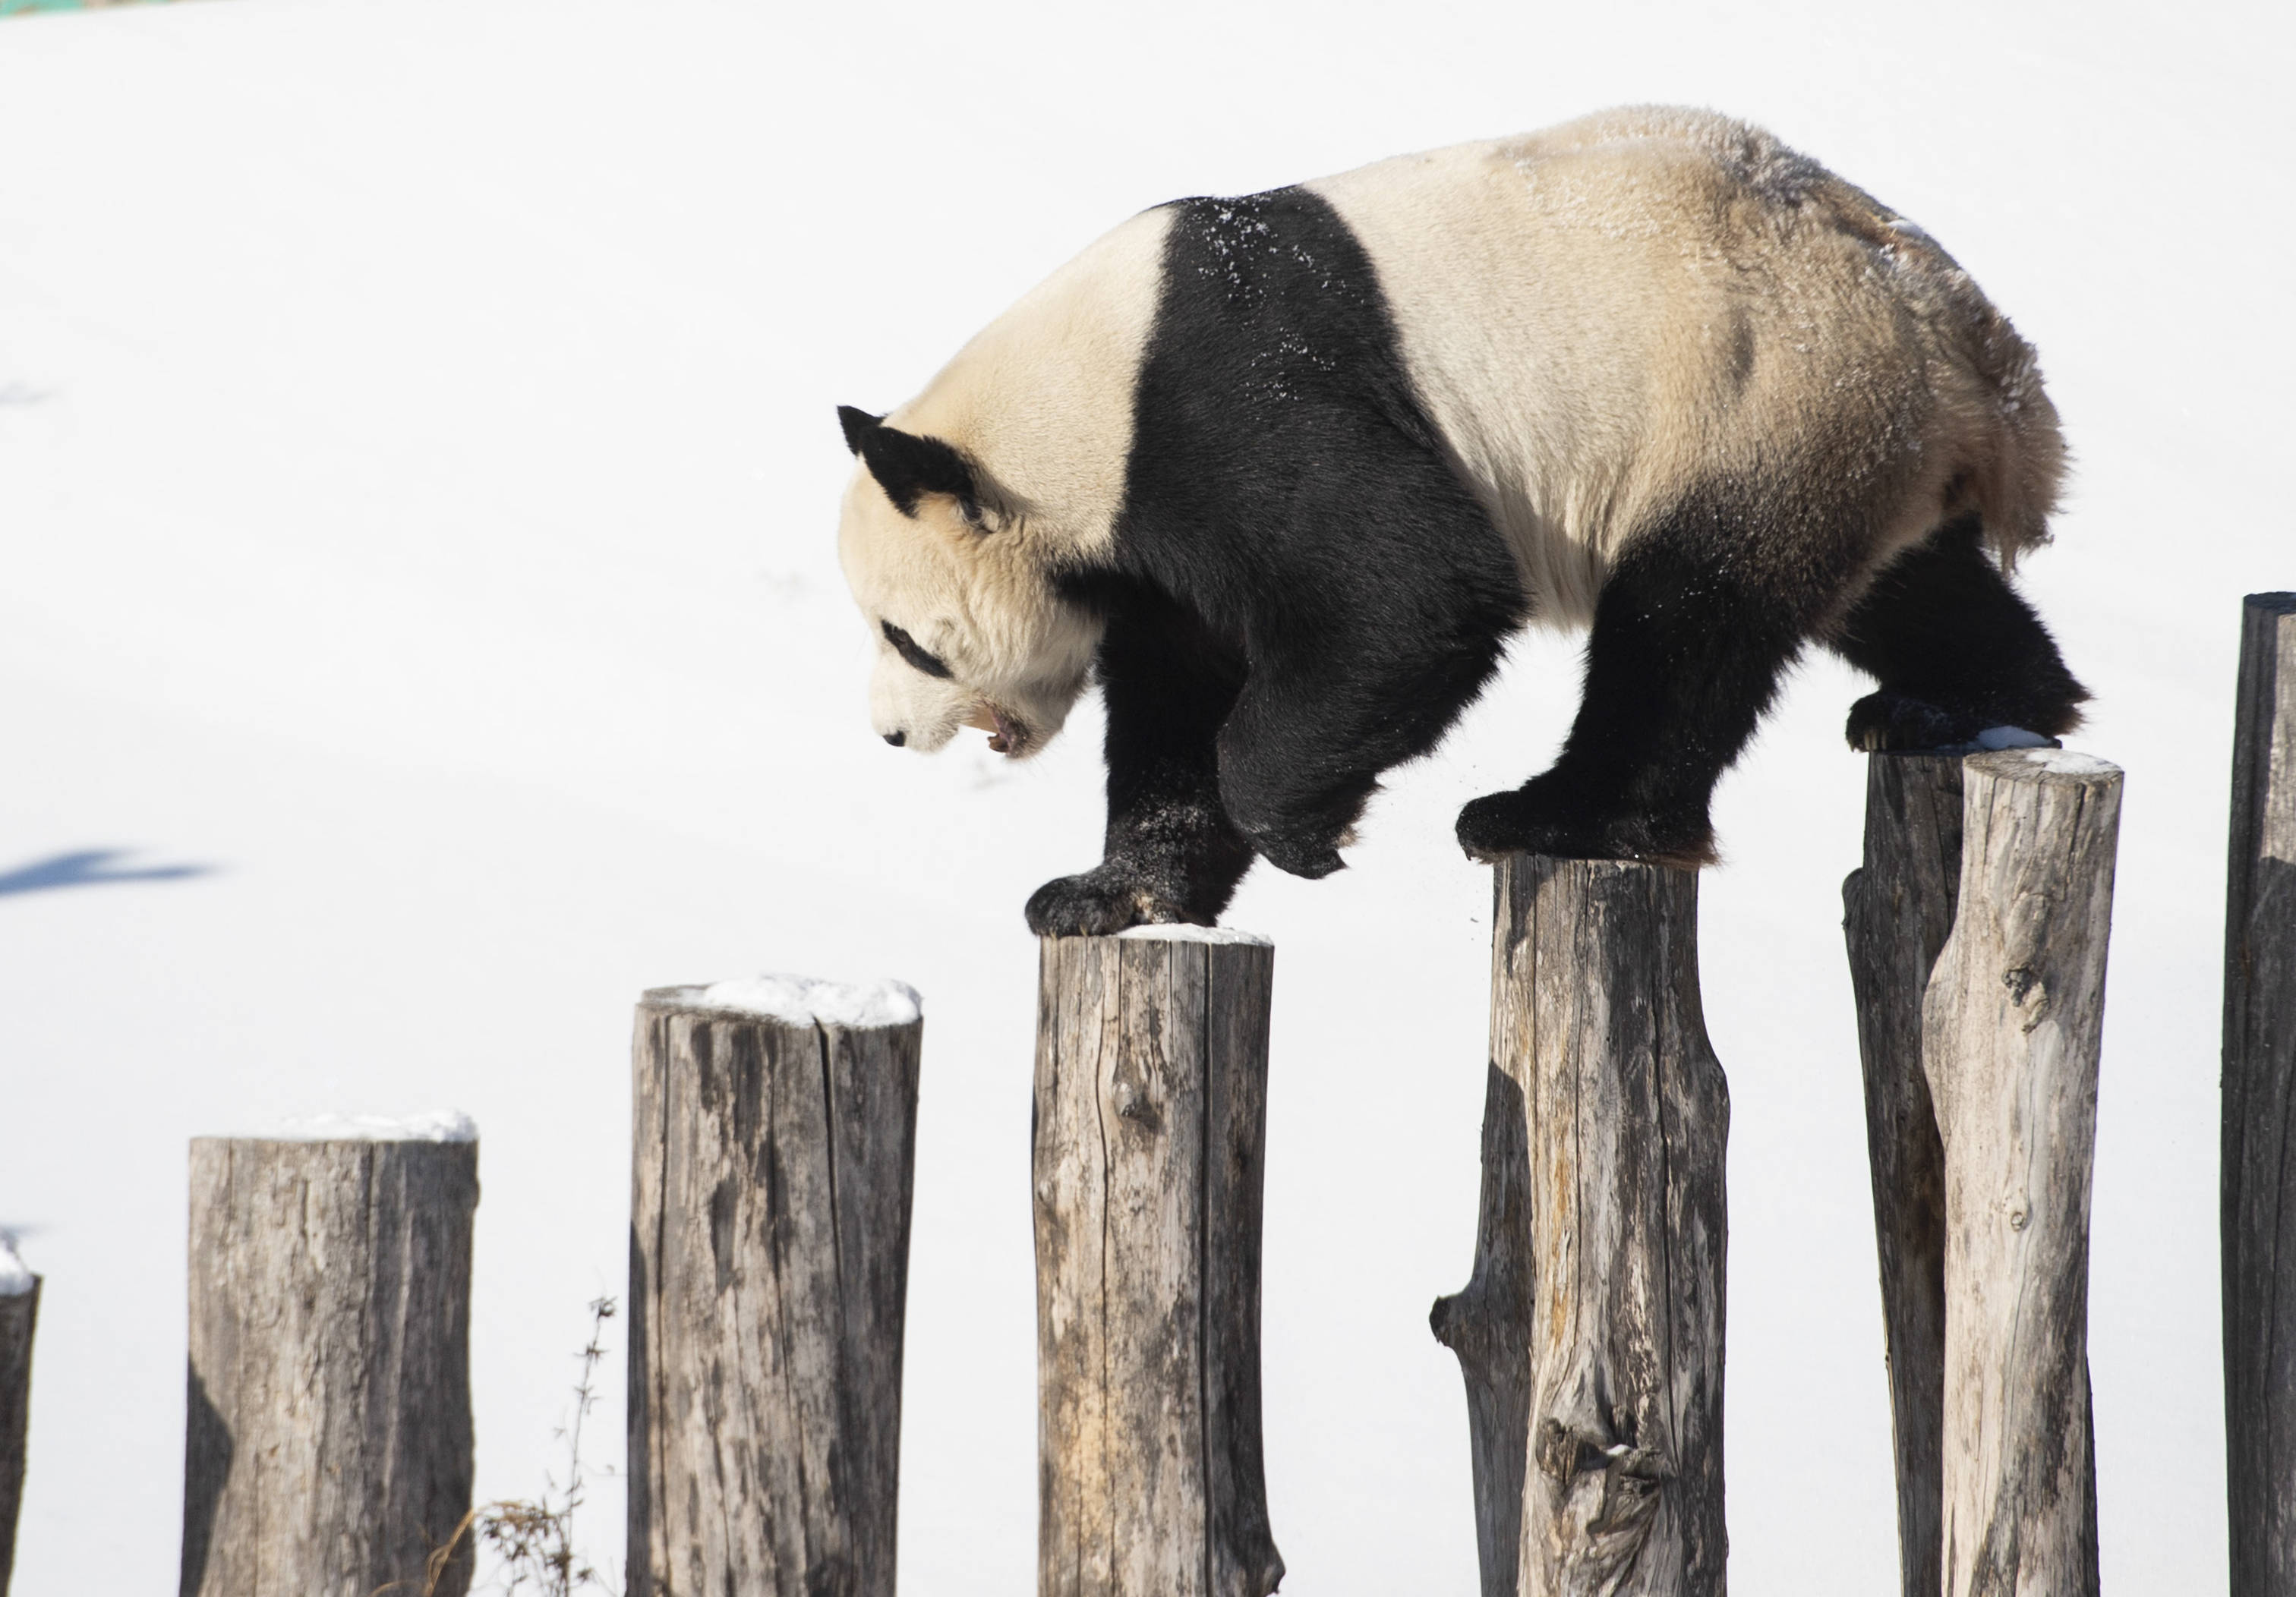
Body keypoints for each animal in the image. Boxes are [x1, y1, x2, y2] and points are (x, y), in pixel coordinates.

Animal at [831, 106, 2084, 936]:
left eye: (904, 638)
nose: (888, 736)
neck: (1076, 402)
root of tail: (1972, 343)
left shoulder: (1224, 413)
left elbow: (1408, 594)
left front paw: (1301, 830)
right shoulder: (1153, 533)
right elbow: (1176, 693)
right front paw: (1111, 892)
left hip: (1752, 393)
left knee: (1687, 622)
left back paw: (1555, 816)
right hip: (1851, 432)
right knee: (1900, 588)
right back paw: (1970, 704)